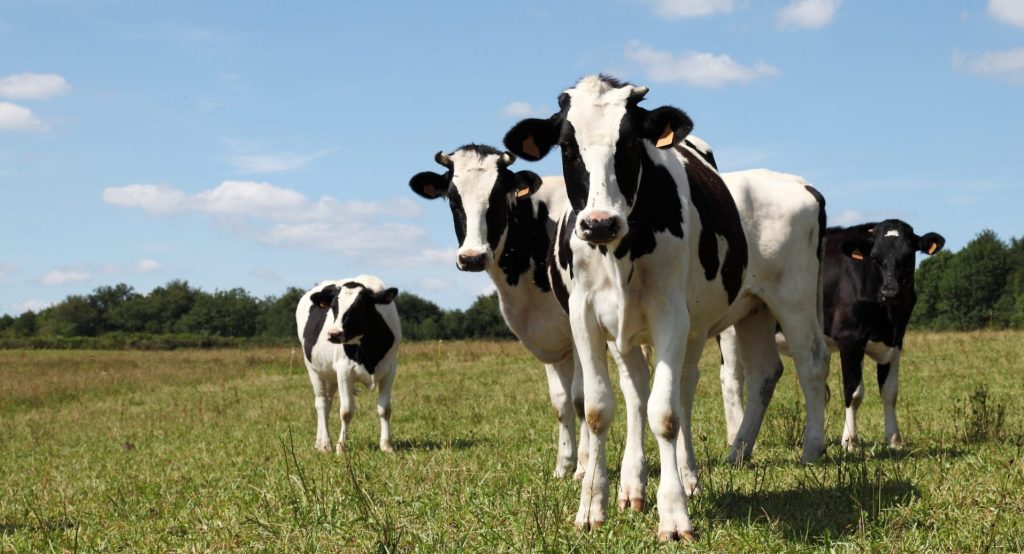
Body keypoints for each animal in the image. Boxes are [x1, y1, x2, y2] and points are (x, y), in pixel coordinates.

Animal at [294, 274, 401, 452]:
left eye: (359, 307)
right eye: (333, 307)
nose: (333, 334)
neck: (369, 350)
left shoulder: (390, 369)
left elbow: (384, 408)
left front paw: (387, 446)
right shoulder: (344, 371)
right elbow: (346, 411)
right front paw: (341, 447)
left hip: (330, 375)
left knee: (328, 402)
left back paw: (319, 441)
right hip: (313, 369)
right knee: (321, 403)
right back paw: (325, 444)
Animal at [407, 142, 647, 497]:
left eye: (496, 197)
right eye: (452, 197)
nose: (472, 257)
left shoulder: (578, 329)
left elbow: (580, 397)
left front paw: (583, 468)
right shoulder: (548, 336)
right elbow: (561, 402)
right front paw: (563, 465)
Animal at [503, 74, 831, 540]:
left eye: (629, 143)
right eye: (567, 145)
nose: (599, 223)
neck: (620, 249)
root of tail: (801, 185)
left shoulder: (670, 316)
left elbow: (666, 412)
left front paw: (674, 514)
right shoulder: (586, 317)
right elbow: (600, 408)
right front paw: (594, 506)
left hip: (792, 299)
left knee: (810, 364)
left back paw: (809, 448)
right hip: (750, 311)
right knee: (754, 374)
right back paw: (725, 455)